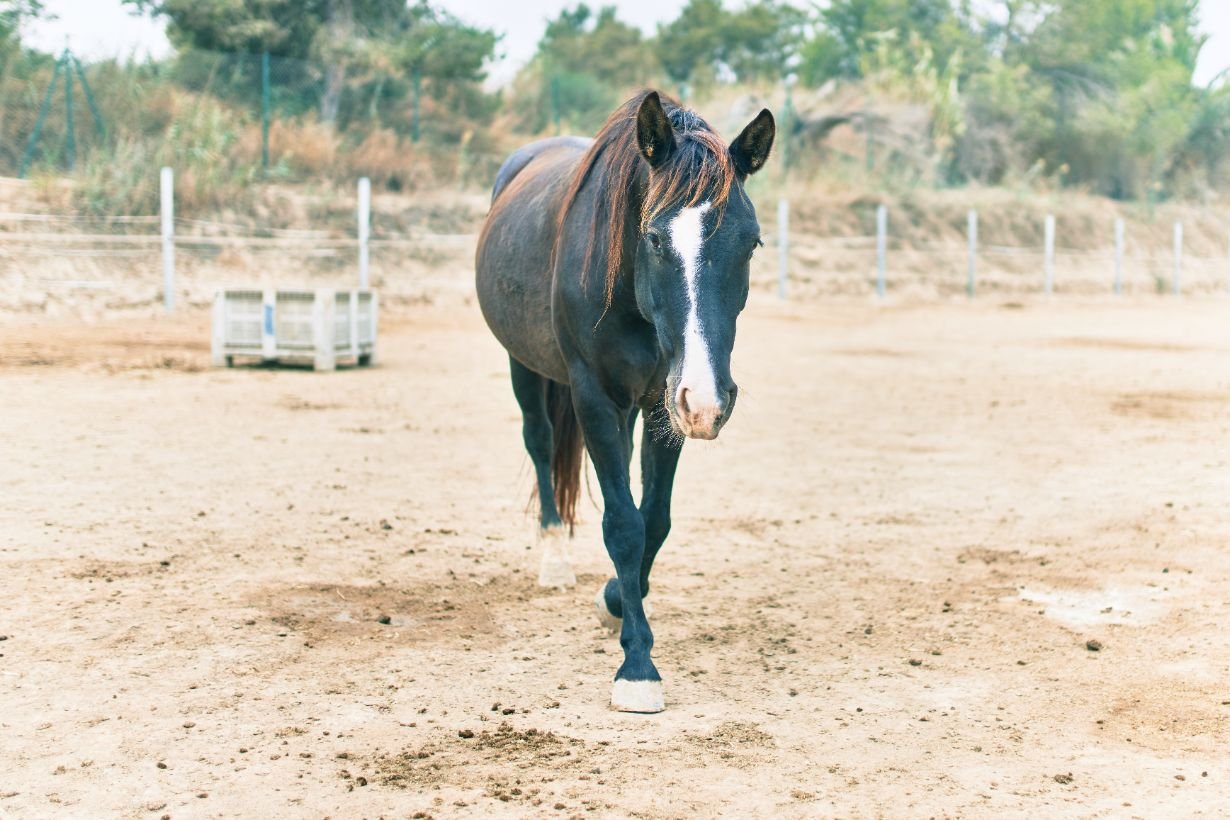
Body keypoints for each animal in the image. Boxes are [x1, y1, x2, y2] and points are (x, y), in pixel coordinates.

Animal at [475, 90, 774, 712]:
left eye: (751, 242)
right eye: (655, 238)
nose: (711, 399)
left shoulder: (666, 404)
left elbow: (652, 518)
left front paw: (618, 598)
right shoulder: (594, 397)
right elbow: (623, 524)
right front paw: (637, 667)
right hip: (525, 367)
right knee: (541, 445)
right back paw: (554, 557)